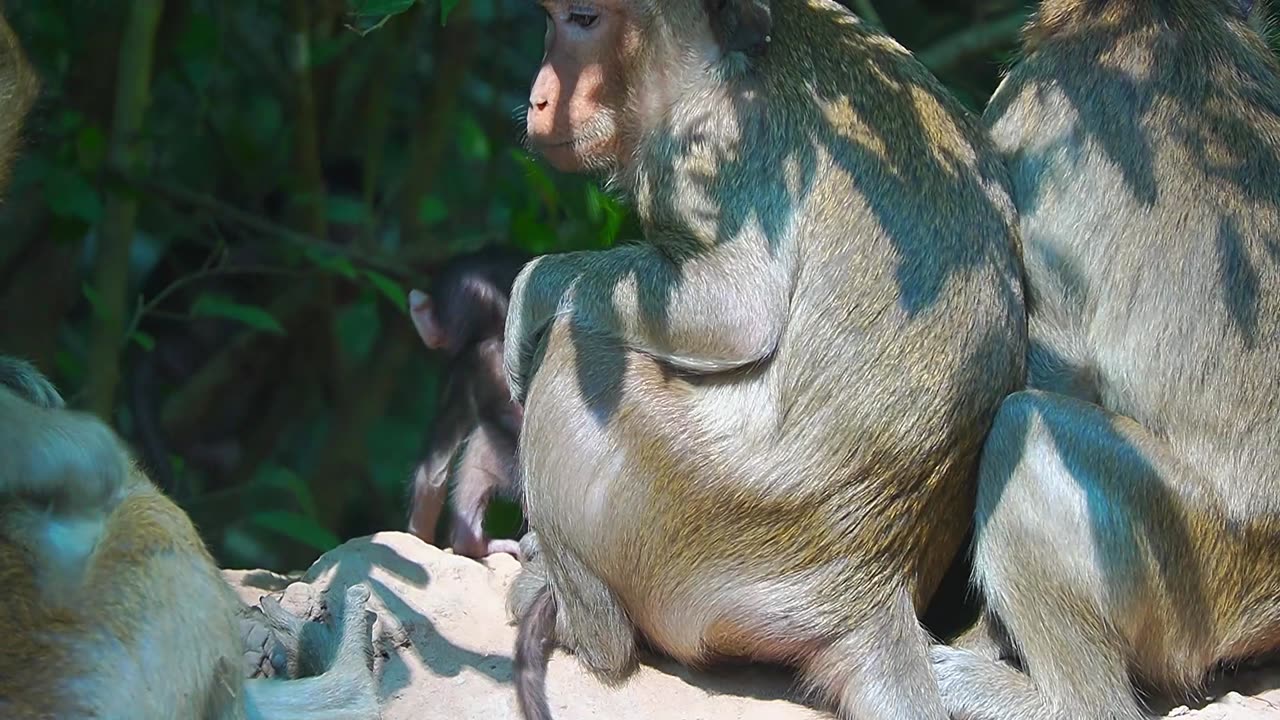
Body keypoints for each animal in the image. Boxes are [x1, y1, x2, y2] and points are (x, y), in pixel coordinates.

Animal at [499, 0, 1029, 712]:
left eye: (584, 19)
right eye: (552, 19)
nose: (540, 97)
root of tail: (874, 593)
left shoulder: (708, 142)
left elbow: (736, 310)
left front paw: (535, 287)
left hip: (689, 512)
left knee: (574, 349)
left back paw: (585, 625)